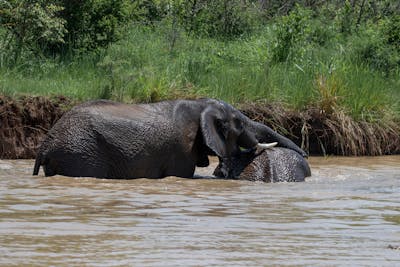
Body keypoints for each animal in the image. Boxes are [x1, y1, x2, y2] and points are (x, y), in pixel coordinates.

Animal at [32, 99, 306, 180]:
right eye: (239, 123)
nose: (304, 154)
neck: (200, 105)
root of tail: (45, 144)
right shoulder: (180, 149)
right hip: (80, 154)